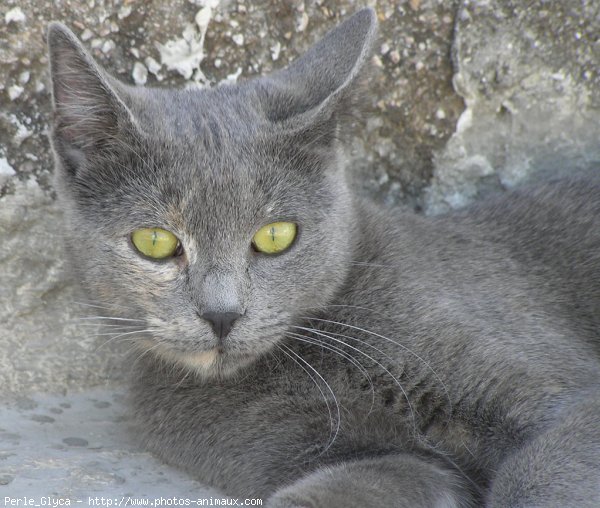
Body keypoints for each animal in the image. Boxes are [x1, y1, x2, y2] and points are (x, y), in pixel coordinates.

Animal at [47, 7, 600, 508]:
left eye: (275, 236)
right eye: (155, 242)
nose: (222, 314)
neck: (318, 358)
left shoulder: (565, 393)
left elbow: (538, 474)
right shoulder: (335, 450)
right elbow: (384, 476)